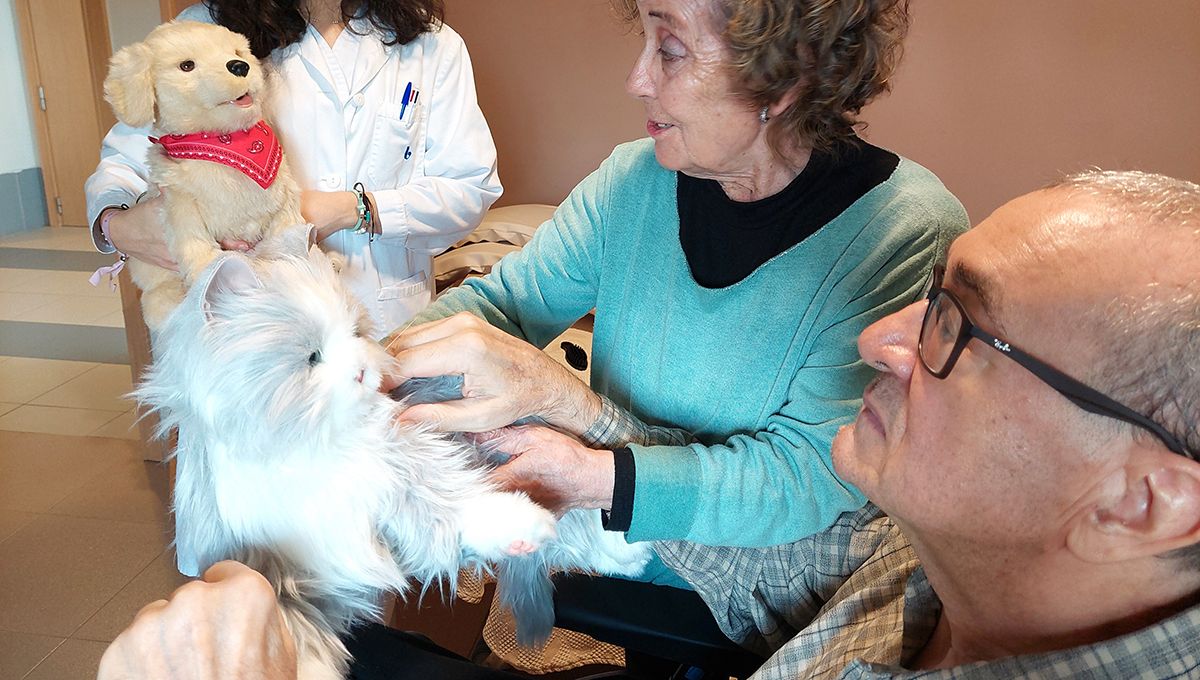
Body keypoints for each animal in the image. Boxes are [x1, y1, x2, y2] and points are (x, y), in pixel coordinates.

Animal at [135, 251, 556, 680]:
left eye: (356, 333)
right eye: (312, 357)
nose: (361, 371)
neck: (310, 441)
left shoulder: (394, 462)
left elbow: (446, 498)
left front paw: (521, 525)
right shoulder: (273, 567)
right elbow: (296, 630)